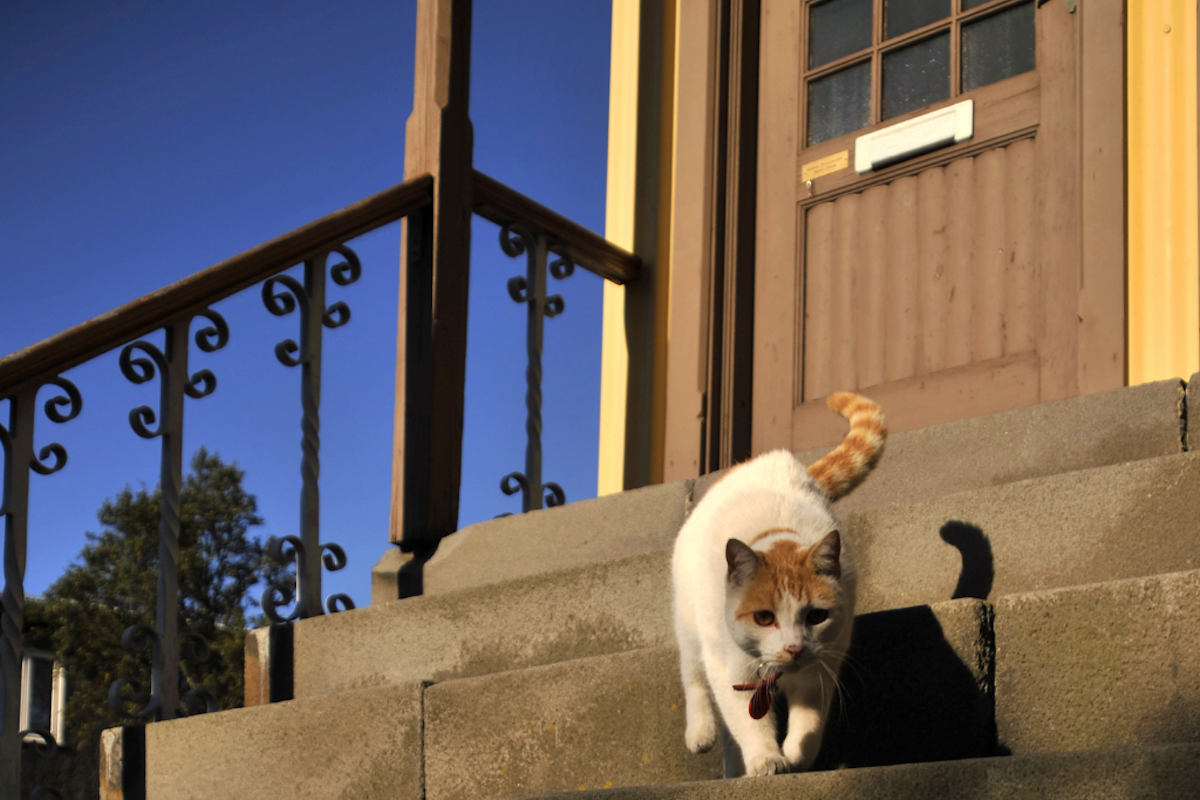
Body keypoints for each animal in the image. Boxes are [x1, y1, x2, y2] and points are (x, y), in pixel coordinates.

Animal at [672, 391, 888, 777]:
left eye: (817, 616)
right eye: (763, 618)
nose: (793, 648)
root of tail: (772, 459)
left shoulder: (822, 667)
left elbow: (809, 723)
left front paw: (795, 756)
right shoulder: (732, 671)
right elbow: (747, 723)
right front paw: (766, 758)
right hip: (689, 625)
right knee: (694, 679)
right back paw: (702, 734)